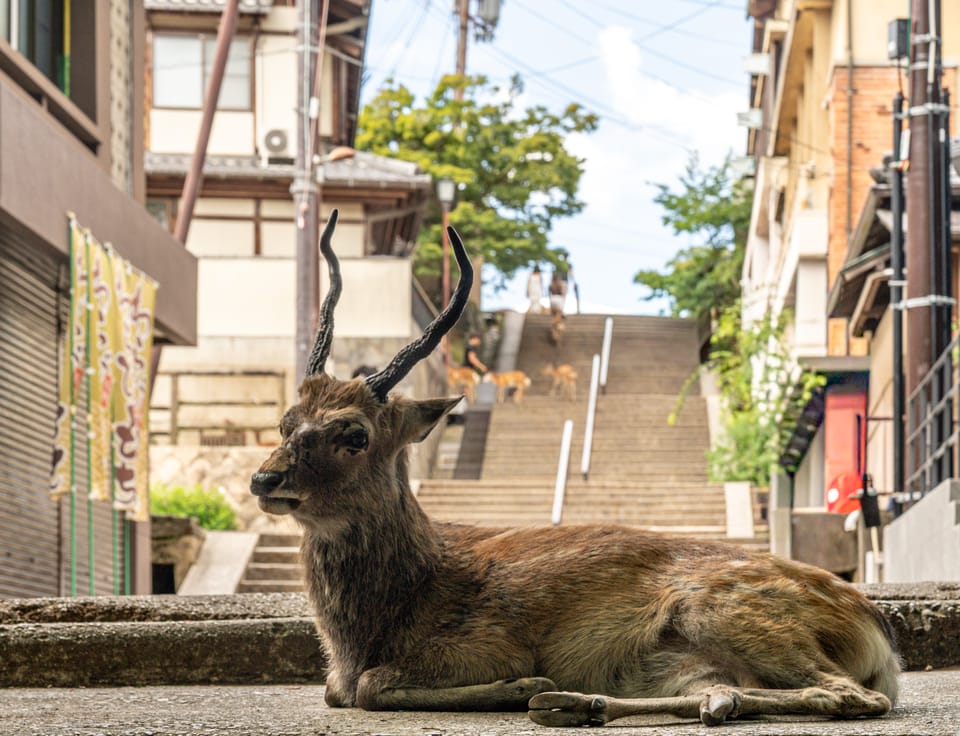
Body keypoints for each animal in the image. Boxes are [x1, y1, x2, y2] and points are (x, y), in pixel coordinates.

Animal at [250, 211, 899, 728]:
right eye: (285, 420)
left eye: (355, 433)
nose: (264, 479)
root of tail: (878, 631)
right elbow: (336, 691)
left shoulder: (485, 639)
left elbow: (367, 686)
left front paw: (520, 682)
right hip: (692, 655)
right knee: (724, 692)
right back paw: (590, 703)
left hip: (726, 610)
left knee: (854, 697)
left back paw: (557, 696)